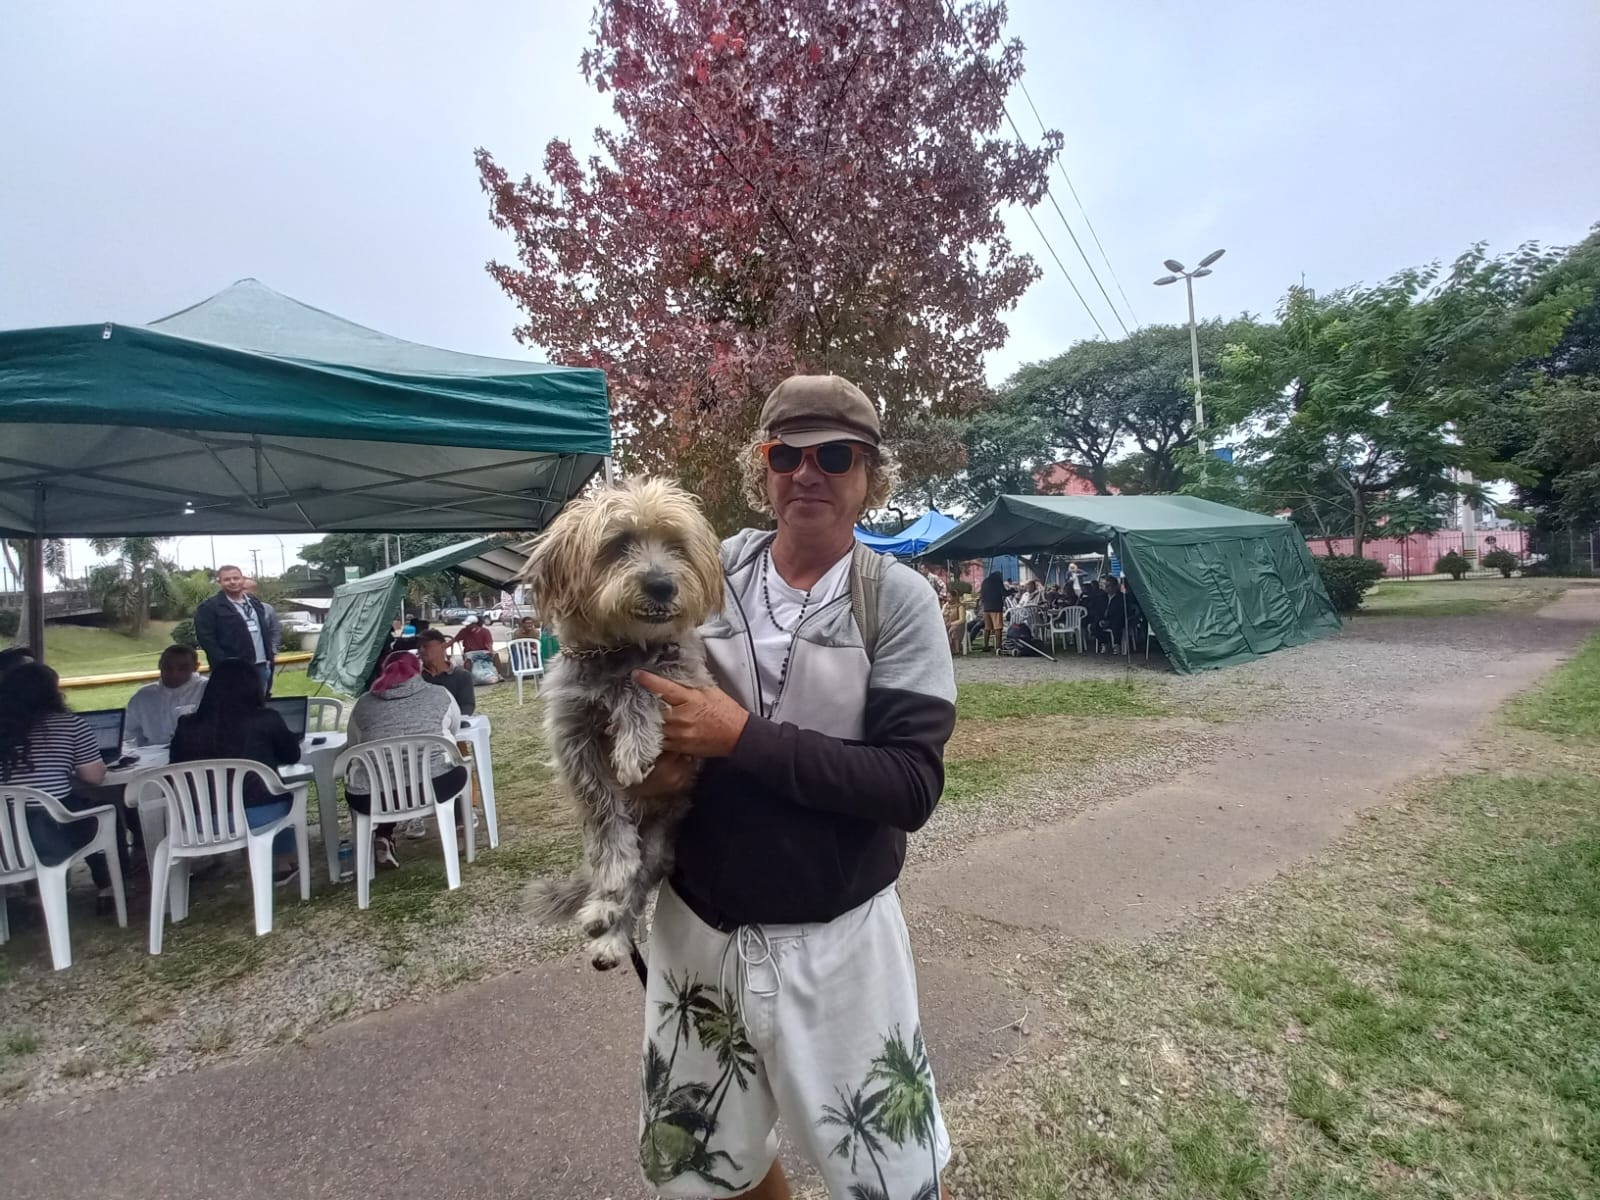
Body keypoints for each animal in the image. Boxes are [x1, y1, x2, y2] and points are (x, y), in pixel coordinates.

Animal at [521, 476, 723, 966]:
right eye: (618, 544)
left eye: (677, 546)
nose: (662, 585)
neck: (619, 649)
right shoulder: (571, 736)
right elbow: (601, 810)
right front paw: (612, 862)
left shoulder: (686, 680)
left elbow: (640, 686)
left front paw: (634, 748)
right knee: (615, 882)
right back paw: (601, 912)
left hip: (659, 844)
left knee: (637, 890)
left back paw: (612, 934)